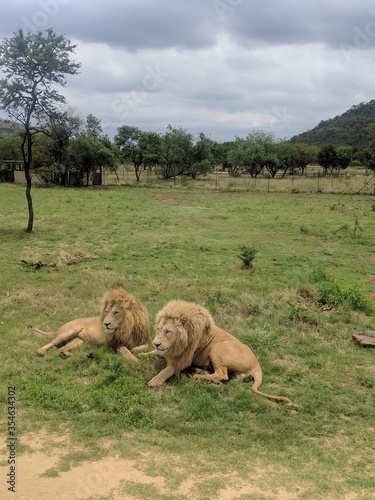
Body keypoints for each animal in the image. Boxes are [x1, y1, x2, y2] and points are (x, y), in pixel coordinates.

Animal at [148, 300, 292, 402]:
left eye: (168, 331)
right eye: (158, 329)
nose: (156, 343)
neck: (177, 343)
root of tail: (257, 364)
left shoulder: (184, 359)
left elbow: (168, 369)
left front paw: (155, 381)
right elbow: (151, 353)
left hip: (217, 348)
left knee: (222, 375)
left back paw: (197, 376)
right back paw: (201, 372)